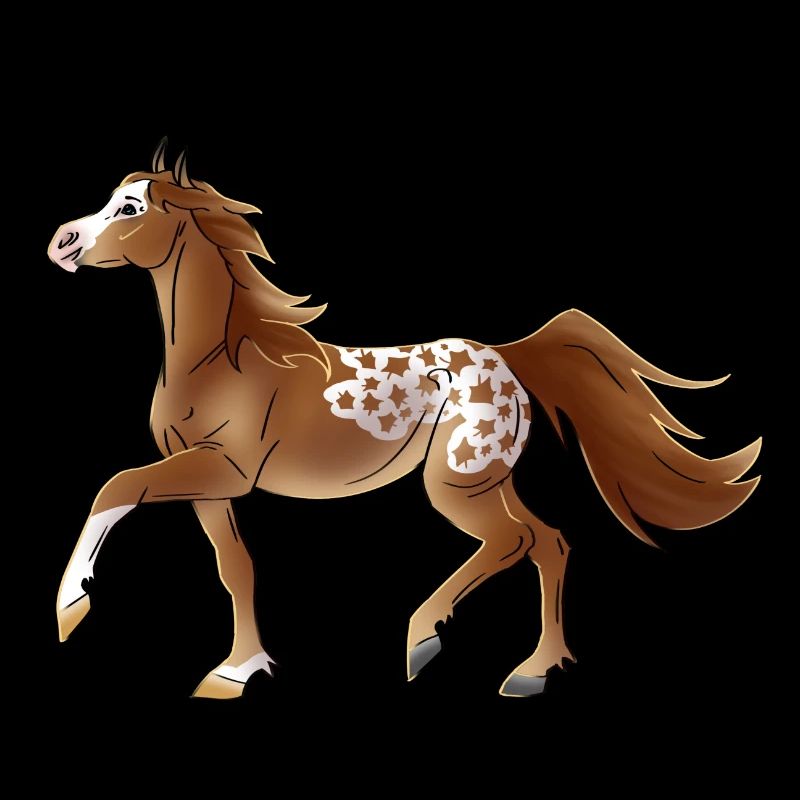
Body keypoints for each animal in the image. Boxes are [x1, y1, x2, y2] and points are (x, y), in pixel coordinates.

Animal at [48, 139, 761, 699]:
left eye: (130, 209)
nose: (61, 243)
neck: (223, 360)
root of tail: (508, 356)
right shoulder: (209, 483)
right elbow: (235, 567)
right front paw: (237, 671)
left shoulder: (224, 468)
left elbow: (116, 485)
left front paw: (69, 607)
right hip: (483, 479)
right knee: (548, 541)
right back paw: (533, 671)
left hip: (455, 484)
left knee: (513, 541)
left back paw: (424, 642)